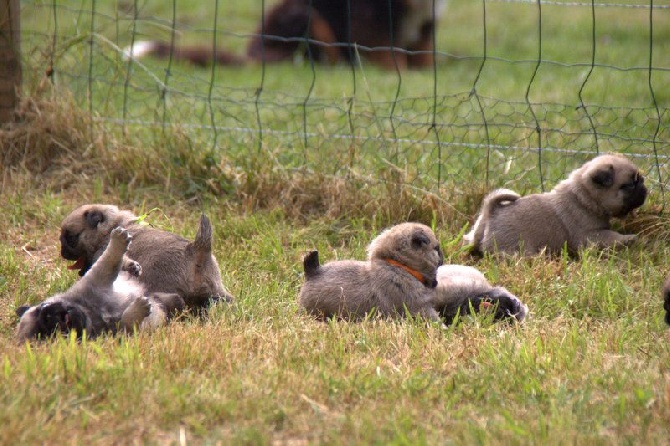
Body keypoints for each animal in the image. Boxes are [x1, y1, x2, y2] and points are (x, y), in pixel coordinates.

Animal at [15, 228, 184, 344]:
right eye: (46, 332)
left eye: (40, 309)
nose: (49, 313)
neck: (90, 312)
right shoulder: (117, 335)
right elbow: (127, 321)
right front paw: (137, 309)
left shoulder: (96, 279)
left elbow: (108, 260)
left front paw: (117, 242)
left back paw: (129, 265)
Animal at [464, 153, 648, 256]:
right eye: (630, 185)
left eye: (639, 179)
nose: (644, 186)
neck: (582, 197)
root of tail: (490, 211)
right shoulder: (590, 235)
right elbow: (611, 236)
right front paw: (629, 239)